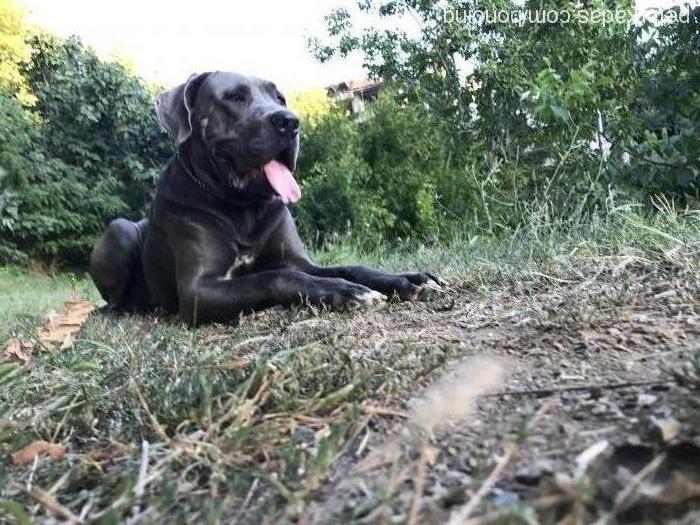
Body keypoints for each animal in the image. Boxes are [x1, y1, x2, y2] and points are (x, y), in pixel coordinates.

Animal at [90, 69, 442, 324]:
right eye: (234, 97)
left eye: (280, 98)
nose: (291, 122)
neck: (241, 208)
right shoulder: (197, 291)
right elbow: (276, 277)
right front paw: (348, 293)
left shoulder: (299, 260)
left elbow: (350, 267)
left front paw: (409, 279)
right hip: (119, 229)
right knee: (116, 300)